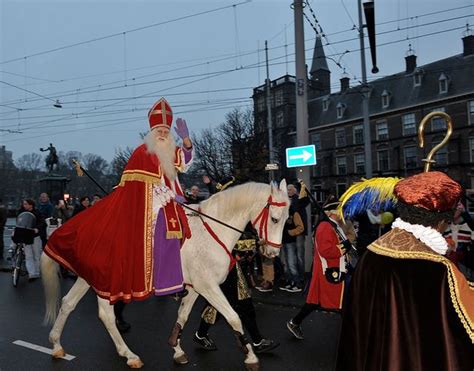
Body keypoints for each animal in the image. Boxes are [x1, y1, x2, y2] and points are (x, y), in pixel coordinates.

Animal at [40, 180, 288, 370]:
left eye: (285, 220)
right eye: (274, 219)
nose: (273, 253)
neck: (211, 231)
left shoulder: (196, 288)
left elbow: (183, 316)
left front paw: (177, 350)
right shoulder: (208, 286)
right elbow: (234, 317)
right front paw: (251, 357)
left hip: (88, 278)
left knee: (68, 303)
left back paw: (56, 344)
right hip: (107, 283)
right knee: (106, 315)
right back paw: (129, 355)